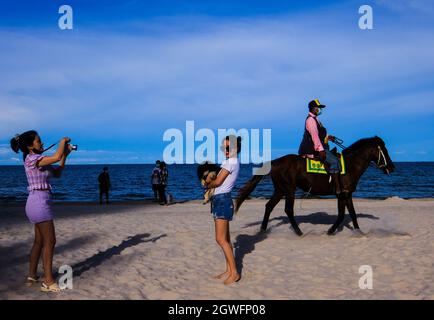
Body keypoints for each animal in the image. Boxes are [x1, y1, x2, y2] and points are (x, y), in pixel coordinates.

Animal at [236, 136, 396, 236]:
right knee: (288, 209)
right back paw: (299, 232)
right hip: (289, 189)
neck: (351, 164)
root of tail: (274, 161)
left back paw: (263, 230)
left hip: (280, 190)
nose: (392, 168)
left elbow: (353, 214)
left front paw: (358, 232)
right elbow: (341, 215)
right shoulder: (341, 195)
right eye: (384, 151)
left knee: (269, 206)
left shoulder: (348, 194)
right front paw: (330, 231)